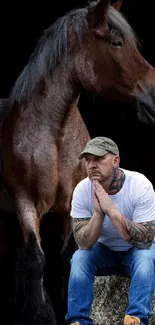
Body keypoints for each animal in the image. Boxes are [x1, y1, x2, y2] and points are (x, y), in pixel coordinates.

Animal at [0, 0, 155, 322]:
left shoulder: (68, 204)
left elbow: (64, 259)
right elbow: (37, 259)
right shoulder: (25, 204)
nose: (154, 95)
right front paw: (43, 313)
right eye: (117, 42)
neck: (54, 136)